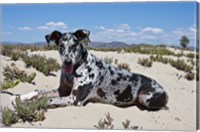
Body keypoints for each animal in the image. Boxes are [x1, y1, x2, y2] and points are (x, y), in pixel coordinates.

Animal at [16, 29, 168, 111]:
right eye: (61, 45)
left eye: (75, 45)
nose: (67, 62)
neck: (76, 69)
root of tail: (163, 89)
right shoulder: (62, 91)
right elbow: (39, 92)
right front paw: (22, 98)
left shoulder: (74, 99)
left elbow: (47, 100)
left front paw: (28, 105)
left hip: (145, 97)